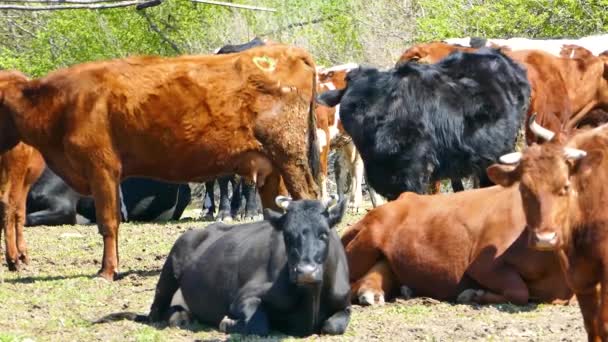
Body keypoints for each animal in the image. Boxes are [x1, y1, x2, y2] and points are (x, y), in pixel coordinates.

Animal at [0, 44, 320, 280]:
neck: (63, 103)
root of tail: (287, 50)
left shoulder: (101, 168)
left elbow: (108, 222)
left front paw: (107, 271)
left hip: (291, 156)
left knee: (307, 198)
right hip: (271, 166)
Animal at [98, 196, 352, 336]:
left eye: (324, 234)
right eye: (287, 236)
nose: (306, 272)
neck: (311, 298)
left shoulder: (345, 304)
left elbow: (333, 325)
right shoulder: (243, 297)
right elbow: (258, 323)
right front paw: (228, 323)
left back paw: (182, 316)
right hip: (169, 269)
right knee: (154, 314)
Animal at [486, 121, 608, 340]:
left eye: (566, 186)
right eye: (523, 189)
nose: (545, 239)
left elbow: (603, 324)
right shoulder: (580, 276)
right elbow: (591, 325)